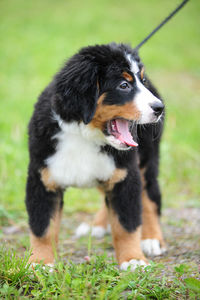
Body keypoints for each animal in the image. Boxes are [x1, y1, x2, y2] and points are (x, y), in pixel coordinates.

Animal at [25, 43, 166, 270]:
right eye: (124, 85)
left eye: (141, 81)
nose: (159, 108)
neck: (84, 135)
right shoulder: (42, 179)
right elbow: (42, 227)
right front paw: (40, 262)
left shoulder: (126, 175)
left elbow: (126, 224)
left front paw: (133, 259)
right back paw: (96, 226)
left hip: (146, 159)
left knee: (150, 197)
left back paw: (152, 238)